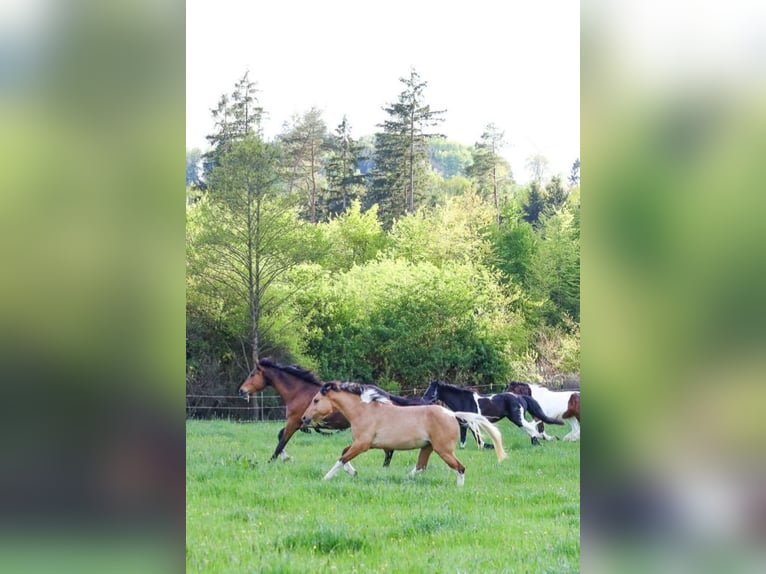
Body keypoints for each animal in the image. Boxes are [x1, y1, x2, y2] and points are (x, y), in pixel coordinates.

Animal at [238, 358, 424, 464]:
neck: (299, 391)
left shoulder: (294, 422)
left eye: (252, 374)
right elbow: (280, 437)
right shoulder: (298, 422)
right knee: (388, 450)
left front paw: (272, 461)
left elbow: (281, 441)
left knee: (388, 451)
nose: (241, 391)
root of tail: (387, 396)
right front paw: (285, 458)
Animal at [301, 382, 506, 486]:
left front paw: (326, 478)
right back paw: (404, 480)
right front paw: (353, 472)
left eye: (316, 400)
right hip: (428, 447)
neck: (364, 411)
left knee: (460, 467)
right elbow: (344, 453)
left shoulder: (363, 444)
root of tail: (452, 414)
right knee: (420, 467)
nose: (304, 418)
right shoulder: (360, 443)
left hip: (443, 450)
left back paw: (459, 488)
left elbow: (341, 458)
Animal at [422, 379, 564, 446]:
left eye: (431, 389)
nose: (423, 399)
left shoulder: (473, 423)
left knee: (531, 427)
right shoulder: (463, 424)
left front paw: (487, 446)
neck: (464, 400)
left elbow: (478, 439)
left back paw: (538, 441)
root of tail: (520, 397)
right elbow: (463, 441)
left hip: (517, 418)